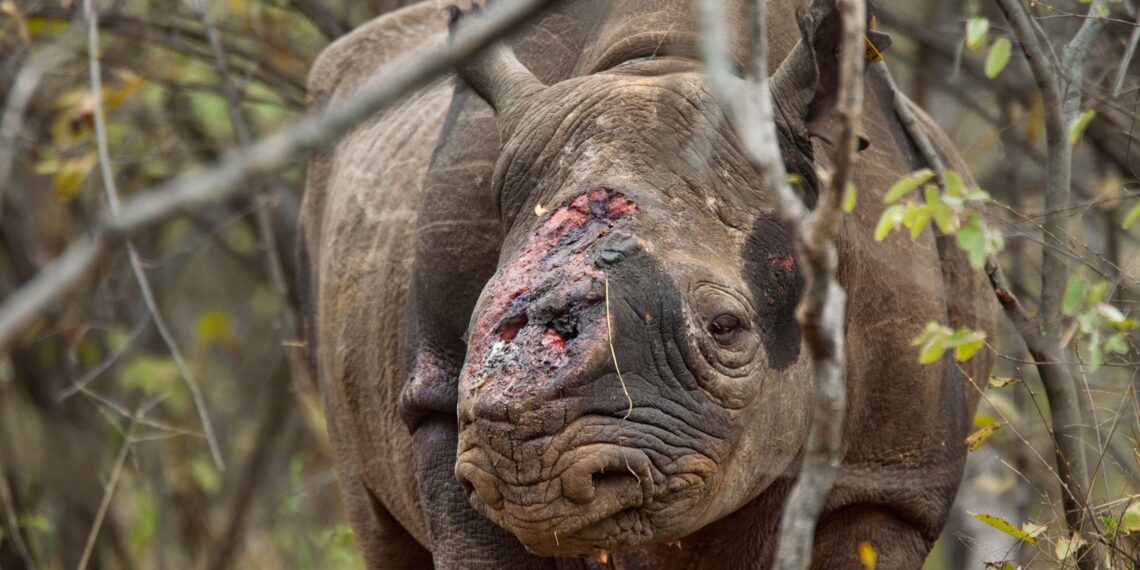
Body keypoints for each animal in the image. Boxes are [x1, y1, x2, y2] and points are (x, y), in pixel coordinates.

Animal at [297, 1, 995, 567]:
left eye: (725, 329)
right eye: (470, 332)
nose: (530, 473)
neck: (661, 63)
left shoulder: (891, 480)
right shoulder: (443, 411)